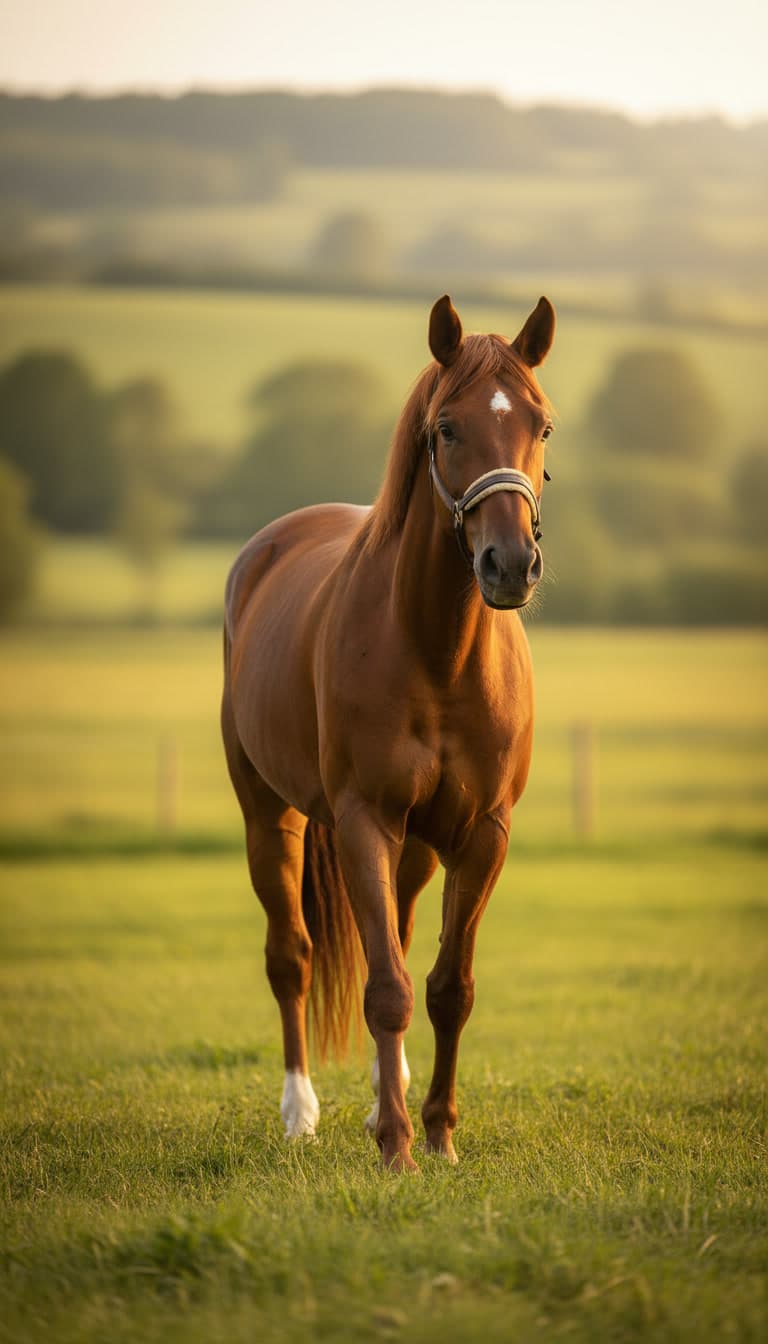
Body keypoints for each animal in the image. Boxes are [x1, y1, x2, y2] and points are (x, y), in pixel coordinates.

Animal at [221, 293, 556, 1171]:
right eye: (447, 428)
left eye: (541, 424)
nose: (511, 564)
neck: (436, 653)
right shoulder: (364, 822)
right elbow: (386, 989)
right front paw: (400, 1149)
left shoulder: (480, 835)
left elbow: (446, 988)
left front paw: (435, 1133)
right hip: (272, 818)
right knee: (292, 957)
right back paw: (300, 1112)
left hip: (415, 848)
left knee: (398, 938)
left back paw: (382, 1098)